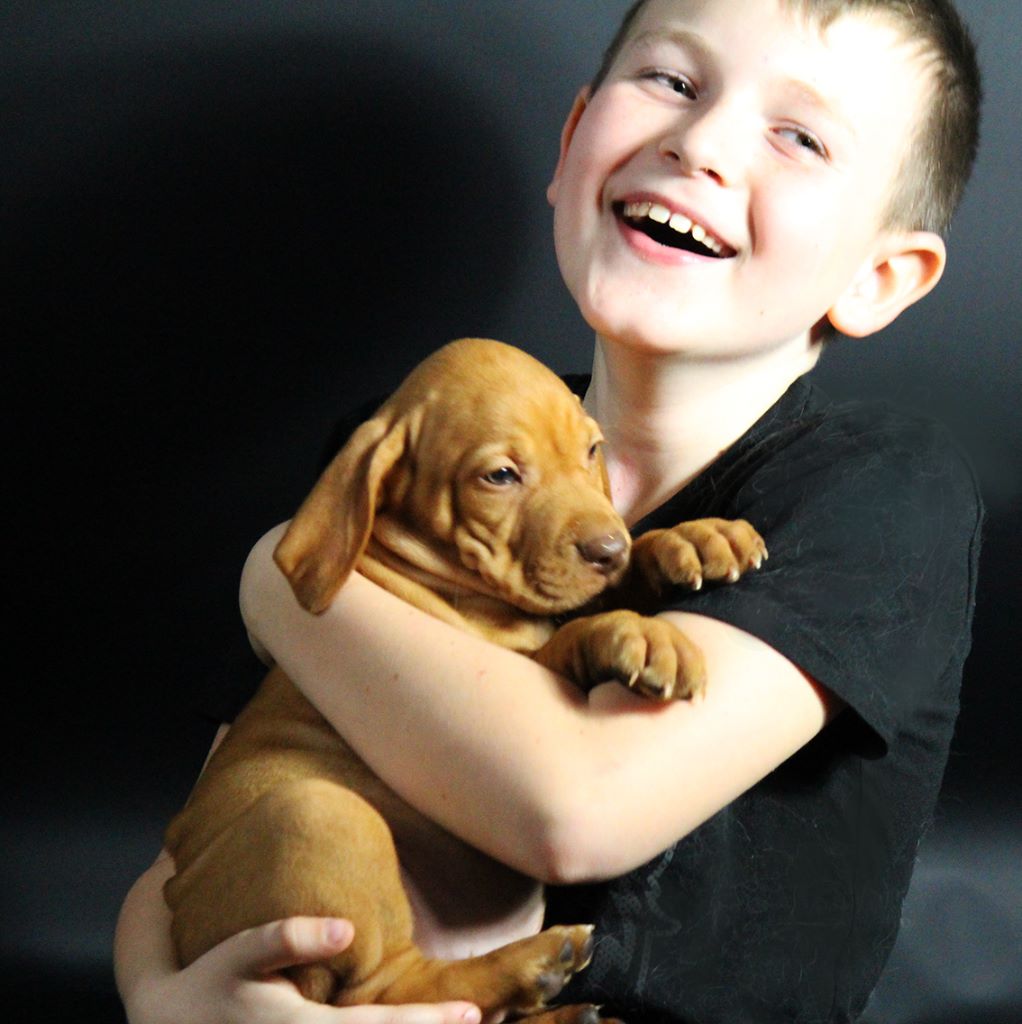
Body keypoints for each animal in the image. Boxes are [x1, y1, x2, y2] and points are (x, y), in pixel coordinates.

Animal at [163, 338, 766, 1022]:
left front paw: (692, 538)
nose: (607, 547)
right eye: (499, 477)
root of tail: (181, 914)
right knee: (382, 987)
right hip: (319, 817)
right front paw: (635, 632)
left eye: (592, 451)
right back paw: (532, 964)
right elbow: (570, 636)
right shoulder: (510, 666)